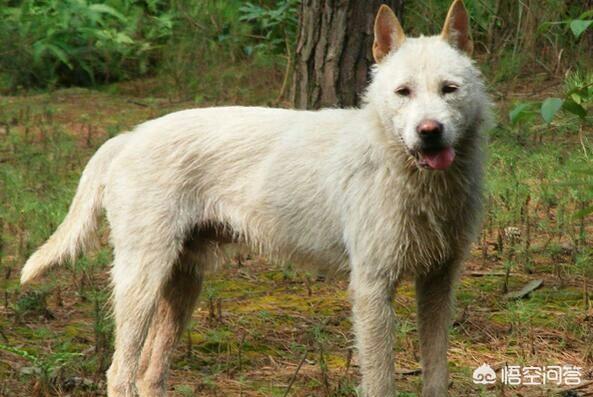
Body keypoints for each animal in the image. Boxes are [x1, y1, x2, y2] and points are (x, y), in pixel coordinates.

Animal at [19, 1, 490, 394]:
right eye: (403, 92)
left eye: (449, 89)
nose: (430, 133)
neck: (408, 174)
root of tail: (129, 137)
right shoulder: (372, 288)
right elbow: (380, 381)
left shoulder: (438, 283)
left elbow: (436, 374)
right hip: (141, 279)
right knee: (120, 372)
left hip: (182, 283)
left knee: (151, 374)